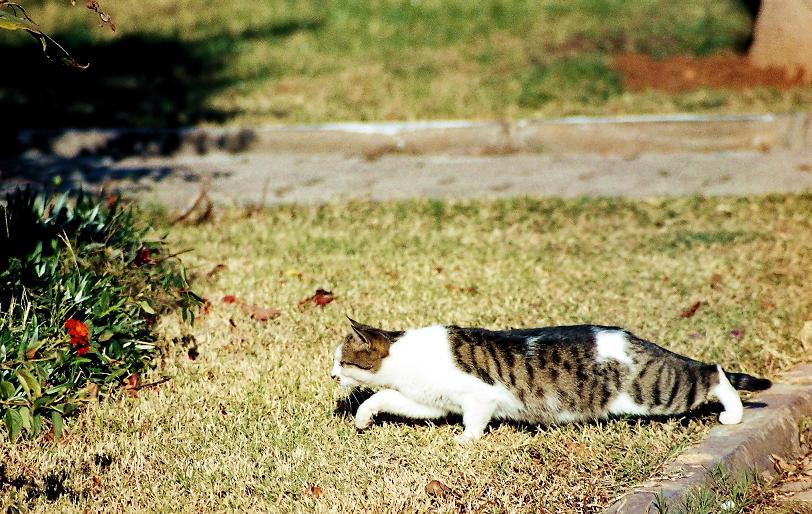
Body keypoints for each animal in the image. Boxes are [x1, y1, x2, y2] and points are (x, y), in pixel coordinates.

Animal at [326, 316, 772, 440]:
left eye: (343, 361)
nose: (331, 375)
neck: (407, 357)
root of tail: (636, 340)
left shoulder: (479, 397)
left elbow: (474, 422)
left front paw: (464, 442)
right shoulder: (429, 403)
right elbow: (382, 398)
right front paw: (363, 418)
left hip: (656, 392)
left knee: (711, 372)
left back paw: (732, 414)